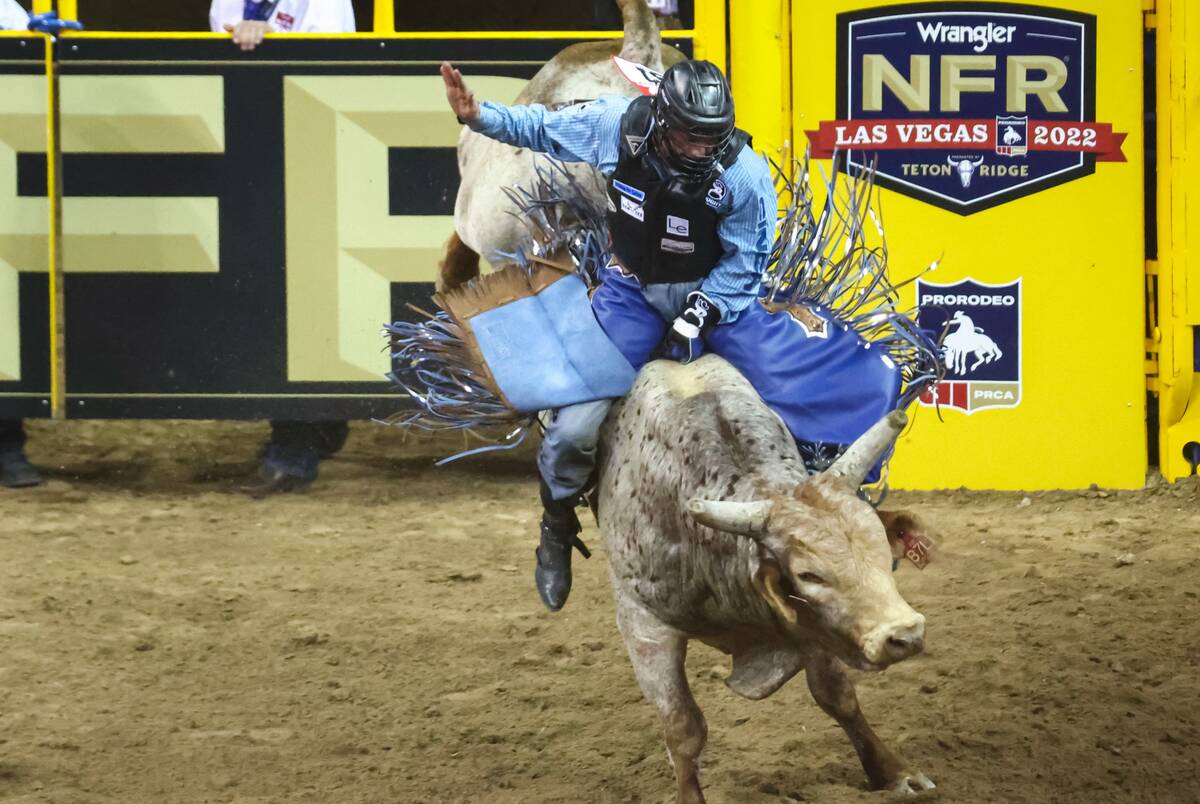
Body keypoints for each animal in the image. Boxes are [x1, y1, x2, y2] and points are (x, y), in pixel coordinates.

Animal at [600, 355, 936, 801]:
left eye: (882, 549)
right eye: (808, 574)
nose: (906, 635)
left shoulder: (814, 626)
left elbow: (838, 696)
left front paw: (893, 772)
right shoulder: (643, 625)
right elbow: (683, 728)